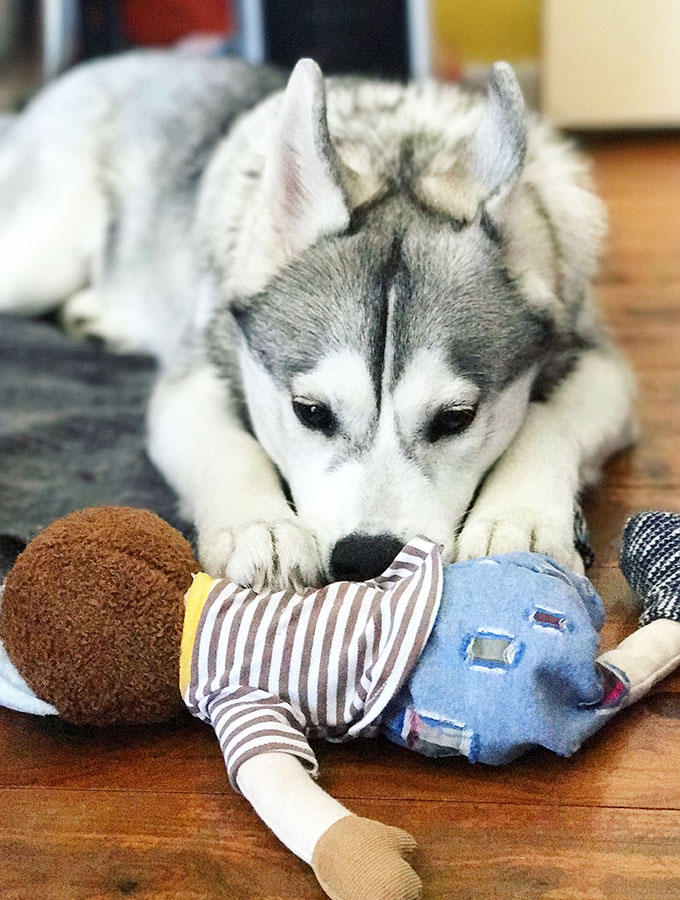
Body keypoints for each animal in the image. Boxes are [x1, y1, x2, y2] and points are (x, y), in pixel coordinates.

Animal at [0, 54, 636, 592]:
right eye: (311, 412)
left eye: (455, 419)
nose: (369, 559)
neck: (401, 152)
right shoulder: (197, 375)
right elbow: (228, 448)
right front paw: (259, 526)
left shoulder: (602, 366)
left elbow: (548, 423)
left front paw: (519, 516)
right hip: (42, 258)